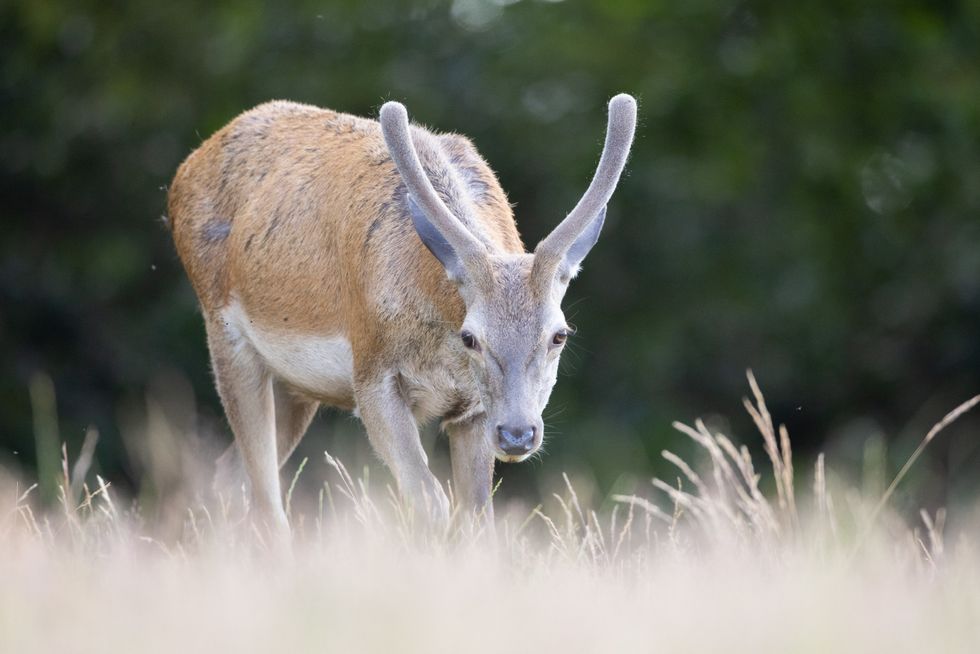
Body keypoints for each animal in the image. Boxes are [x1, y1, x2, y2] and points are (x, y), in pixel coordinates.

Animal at [167, 93, 637, 535]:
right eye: (471, 336)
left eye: (560, 334)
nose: (517, 434)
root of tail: (184, 172)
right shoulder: (371, 376)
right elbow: (429, 501)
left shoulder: (474, 409)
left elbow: (476, 516)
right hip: (224, 332)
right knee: (264, 494)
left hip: (295, 384)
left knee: (229, 475)